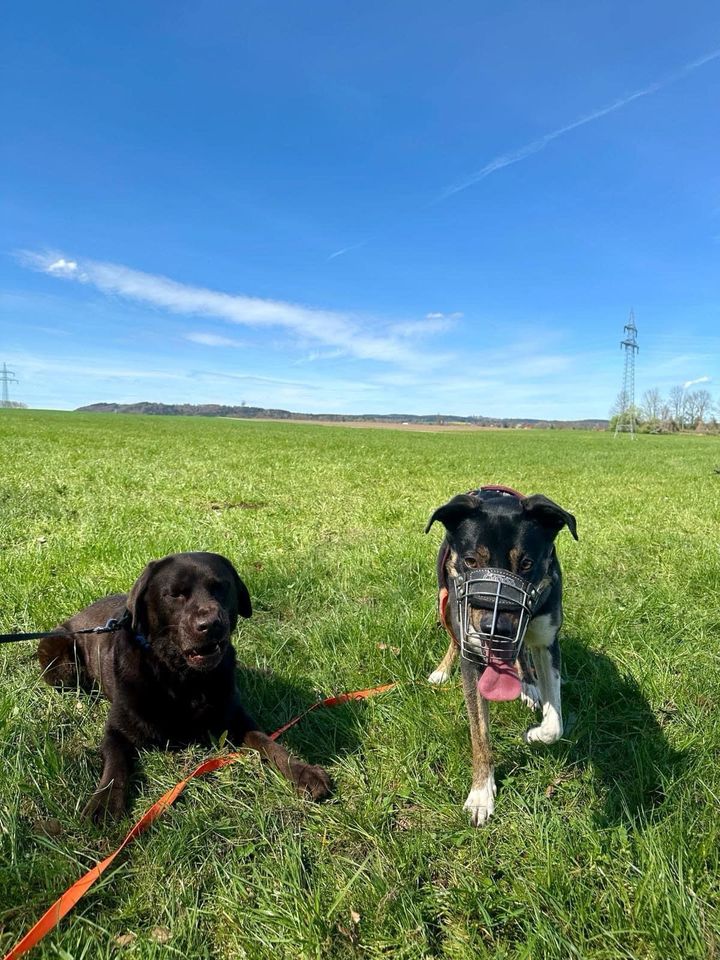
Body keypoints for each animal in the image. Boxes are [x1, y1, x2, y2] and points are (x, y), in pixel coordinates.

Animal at [38, 552, 332, 820]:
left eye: (220, 587)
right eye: (175, 594)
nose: (210, 624)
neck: (181, 676)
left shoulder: (235, 716)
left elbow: (268, 742)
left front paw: (302, 771)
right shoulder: (116, 731)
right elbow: (115, 765)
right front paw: (105, 802)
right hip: (62, 666)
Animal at [424, 488, 576, 824]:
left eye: (527, 563)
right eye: (471, 561)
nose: (496, 628)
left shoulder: (547, 640)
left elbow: (555, 724)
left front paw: (534, 734)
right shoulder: (472, 650)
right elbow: (479, 733)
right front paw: (481, 794)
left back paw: (528, 683)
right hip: (445, 597)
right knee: (451, 634)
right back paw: (442, 669)